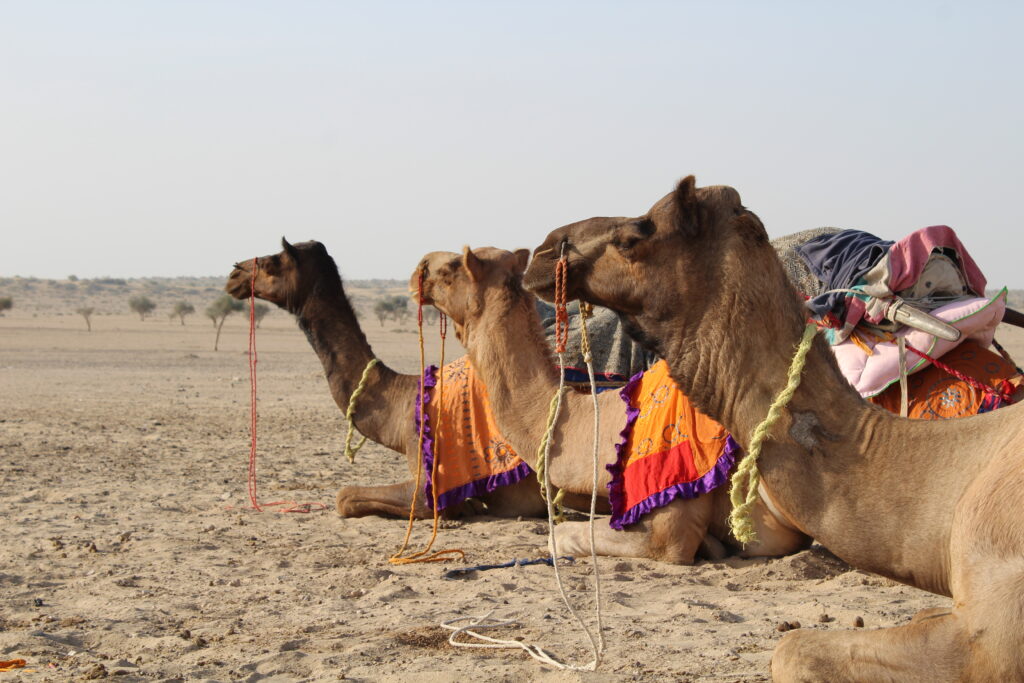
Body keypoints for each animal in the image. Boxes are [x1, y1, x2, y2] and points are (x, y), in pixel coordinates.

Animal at [221, 240, 548, 518]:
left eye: (272, 262)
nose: (234, 275)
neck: (404, 401)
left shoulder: (428, 476)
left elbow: (344, 497)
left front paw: (466, 506)